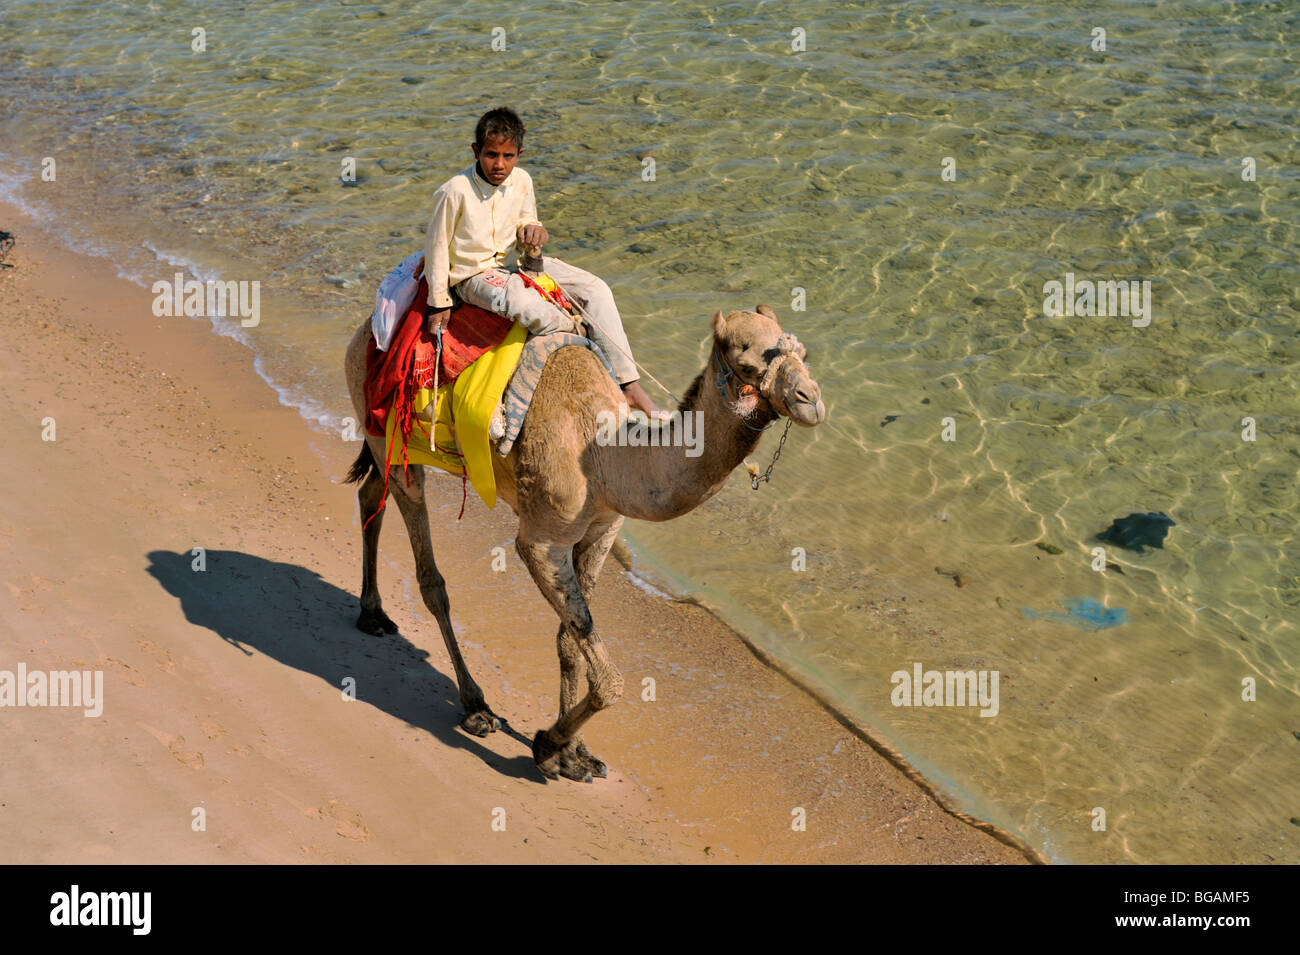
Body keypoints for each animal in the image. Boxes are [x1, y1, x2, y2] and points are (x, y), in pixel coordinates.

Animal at [343, 304, 825, 781]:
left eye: (802, 352)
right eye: (748, 358)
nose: (812, 400)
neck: (603, 452)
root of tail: (365, 328)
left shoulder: (603, 528)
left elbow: (570, 639)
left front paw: (573, 754)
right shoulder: (542, 540)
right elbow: (609, 679)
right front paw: (546, 745)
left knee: (371, 494)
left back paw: (373, 614)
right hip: (389, 432)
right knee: (429, 573)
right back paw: (476, 705)